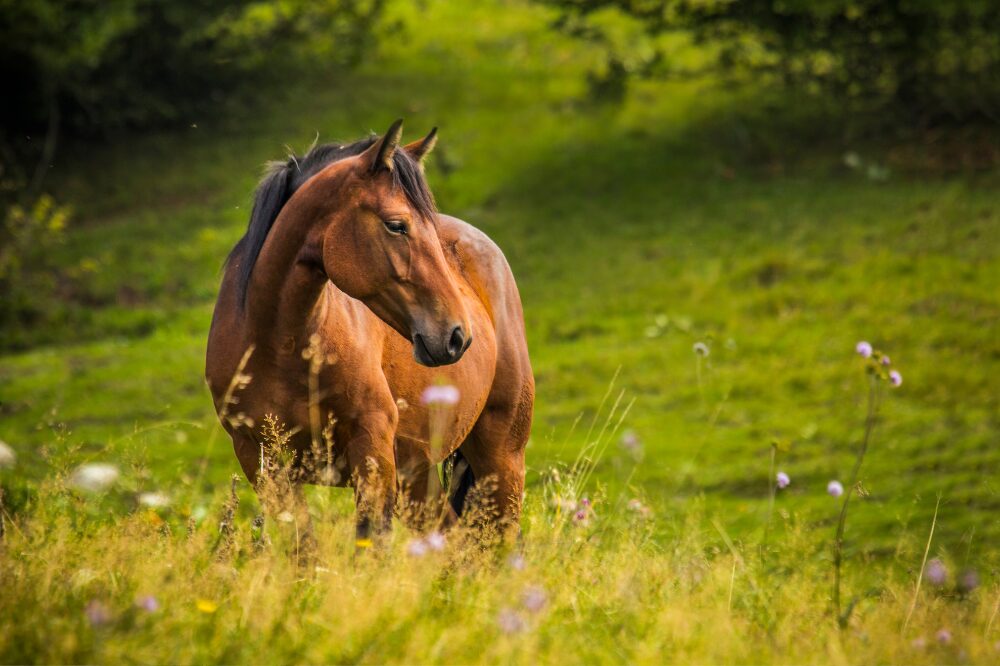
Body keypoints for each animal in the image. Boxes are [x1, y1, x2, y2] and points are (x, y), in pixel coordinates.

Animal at [205, 120, 534, 547]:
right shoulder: (262, 463)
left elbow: (369, 544)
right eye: (396, 225)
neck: (280, 346)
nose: (457, 335)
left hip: (501, 459)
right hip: (419, 473)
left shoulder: (373, 449)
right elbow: (304, 549)